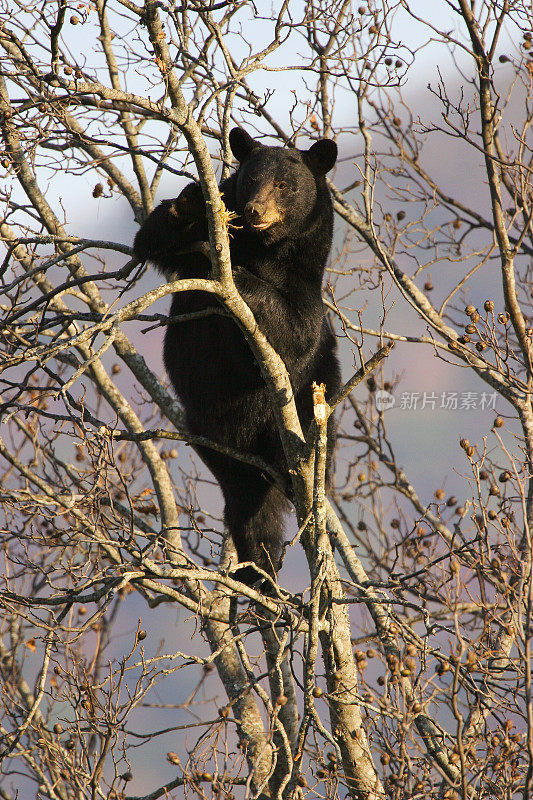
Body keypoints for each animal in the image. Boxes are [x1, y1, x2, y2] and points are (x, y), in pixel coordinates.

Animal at [133, 128, 340, 584]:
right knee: (248, 504)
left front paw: (240, 277)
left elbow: (295, 331)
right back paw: (258, 569)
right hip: (209, 435)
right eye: (251, 179)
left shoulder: (305, 289)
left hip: (311, 401)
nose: (254, 209)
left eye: (284, 185)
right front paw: (190, 202)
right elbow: (150, 240)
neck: (264, 249)